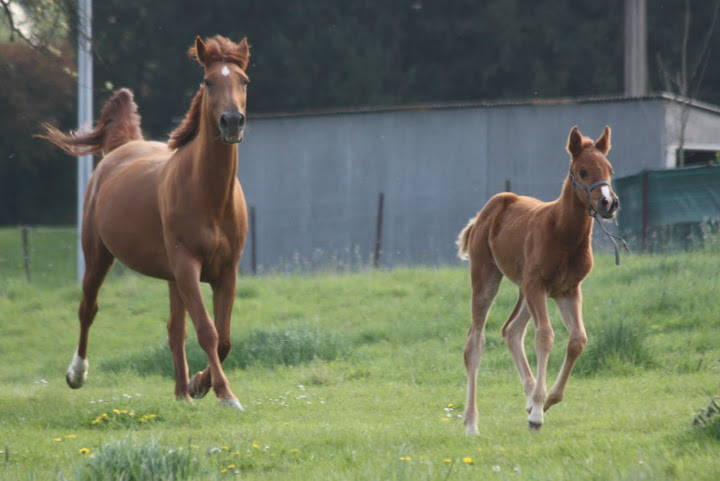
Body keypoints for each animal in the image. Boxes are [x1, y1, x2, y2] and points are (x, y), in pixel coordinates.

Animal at [456, 125, 620, 434]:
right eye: (582, 171)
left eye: (610, 170)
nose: (609, 203)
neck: (563, 232)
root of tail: (490, 208)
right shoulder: (538, 286)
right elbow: (545, 336)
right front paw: (536, 416)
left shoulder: (568, 290)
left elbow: (578, 339)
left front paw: (545, 401)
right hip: (488, 276)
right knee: (475, 341)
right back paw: (471, 423)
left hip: (525, 289)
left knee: (511, 330)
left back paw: (531, 396)